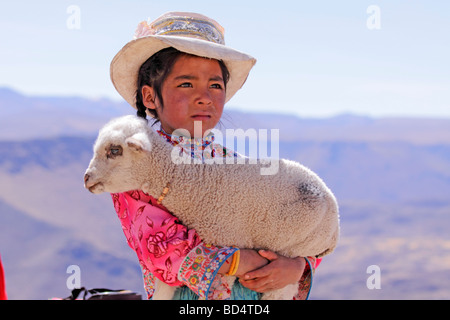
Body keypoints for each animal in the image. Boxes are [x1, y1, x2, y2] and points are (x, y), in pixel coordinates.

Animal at [83, 115, 338, 300]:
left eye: (114, 150)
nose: (86, 178)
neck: (198, 185)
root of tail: (336, 226)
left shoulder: (226, 240)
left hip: (293, 247)